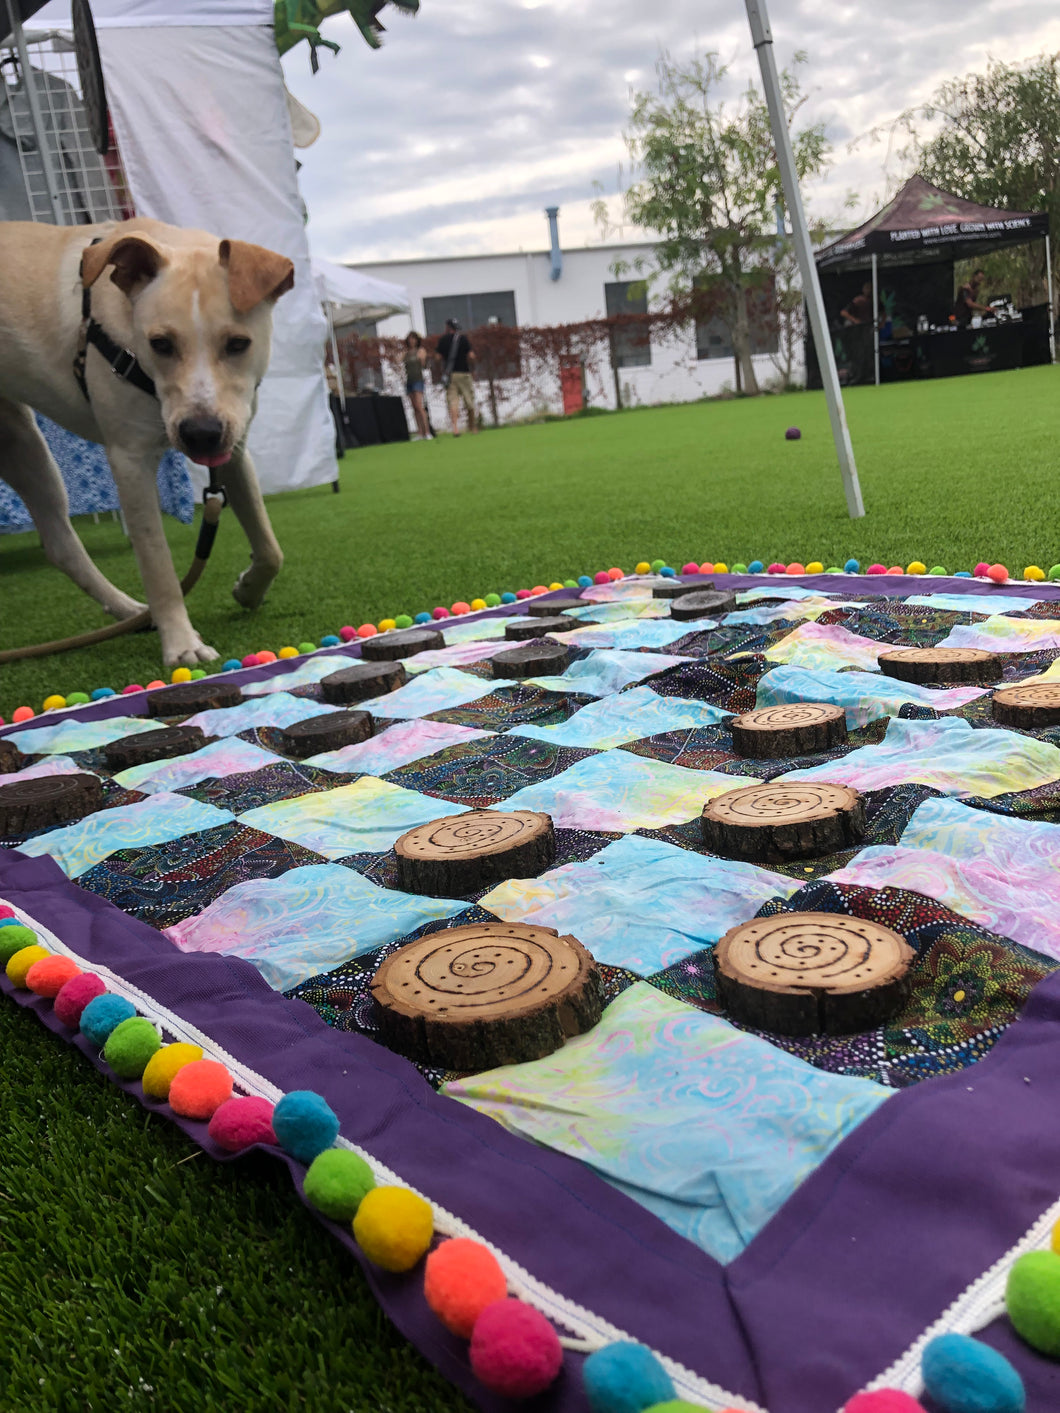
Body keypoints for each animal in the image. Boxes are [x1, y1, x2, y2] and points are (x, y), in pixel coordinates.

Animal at [0, 216, 295, 666]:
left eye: (238, 343)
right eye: (161, 344)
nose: (200, 434)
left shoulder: (235, 445)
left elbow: (270, 546)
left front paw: (248, 589)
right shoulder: (130, 460)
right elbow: (159, 567)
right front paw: (182, 644)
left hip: (22, 444)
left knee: (60, 546)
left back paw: (131, 613)